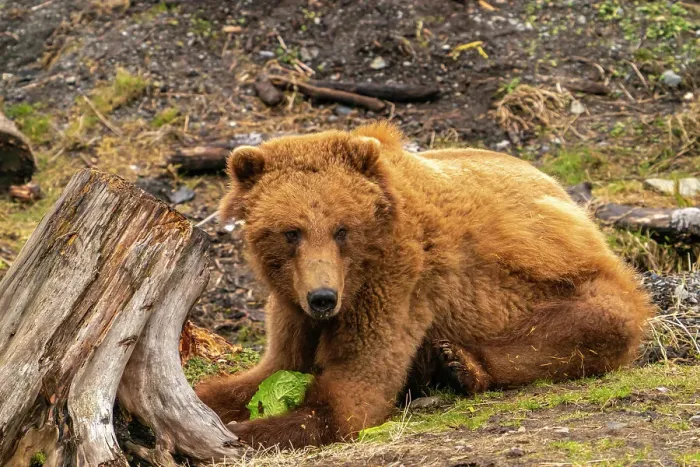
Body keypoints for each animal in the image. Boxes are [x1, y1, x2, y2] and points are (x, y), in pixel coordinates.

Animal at [195, 121, 654, 449]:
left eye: (342, 229)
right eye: (291, 232)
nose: (322, 298)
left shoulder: (396, 281)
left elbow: (350, 397)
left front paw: (240, 433)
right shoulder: (291, 306)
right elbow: (271, 369)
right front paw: (210, 404)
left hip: (577, 281)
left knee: (596, 323)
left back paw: (461, 364)